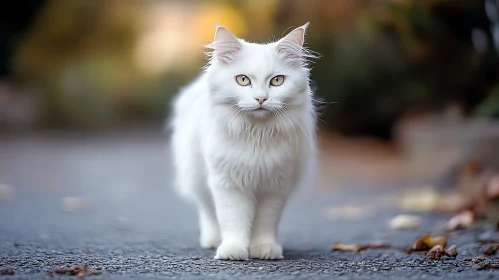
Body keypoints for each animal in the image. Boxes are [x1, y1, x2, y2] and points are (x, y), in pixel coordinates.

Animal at [170, 22, 318, 260]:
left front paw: (264, 249)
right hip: (198, 177)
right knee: (208, 211)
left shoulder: (274, 186)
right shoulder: (228, 183)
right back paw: (212, 240)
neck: (256, 135)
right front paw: (233, 251)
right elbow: (233, 220)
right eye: (243, 80)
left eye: (277, 81)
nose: (261, 98)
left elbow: (265, 223)